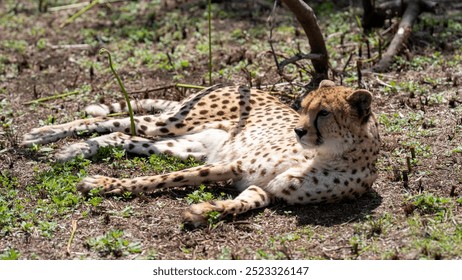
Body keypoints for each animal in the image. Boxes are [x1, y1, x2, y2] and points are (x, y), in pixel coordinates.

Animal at [22, 80, 378, 226]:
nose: (298, 131)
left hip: (187, 144)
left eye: (324, 113)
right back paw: (42, 135)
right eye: (303, 108)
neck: (330, 156)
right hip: (173, 123)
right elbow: (161, 179)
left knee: (122, 135)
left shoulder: (263, 188)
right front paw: (101, 185)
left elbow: (242, 204)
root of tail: (237, 84)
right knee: (107, 120)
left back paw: (75, 150)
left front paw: (204, 212)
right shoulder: (235, 165)